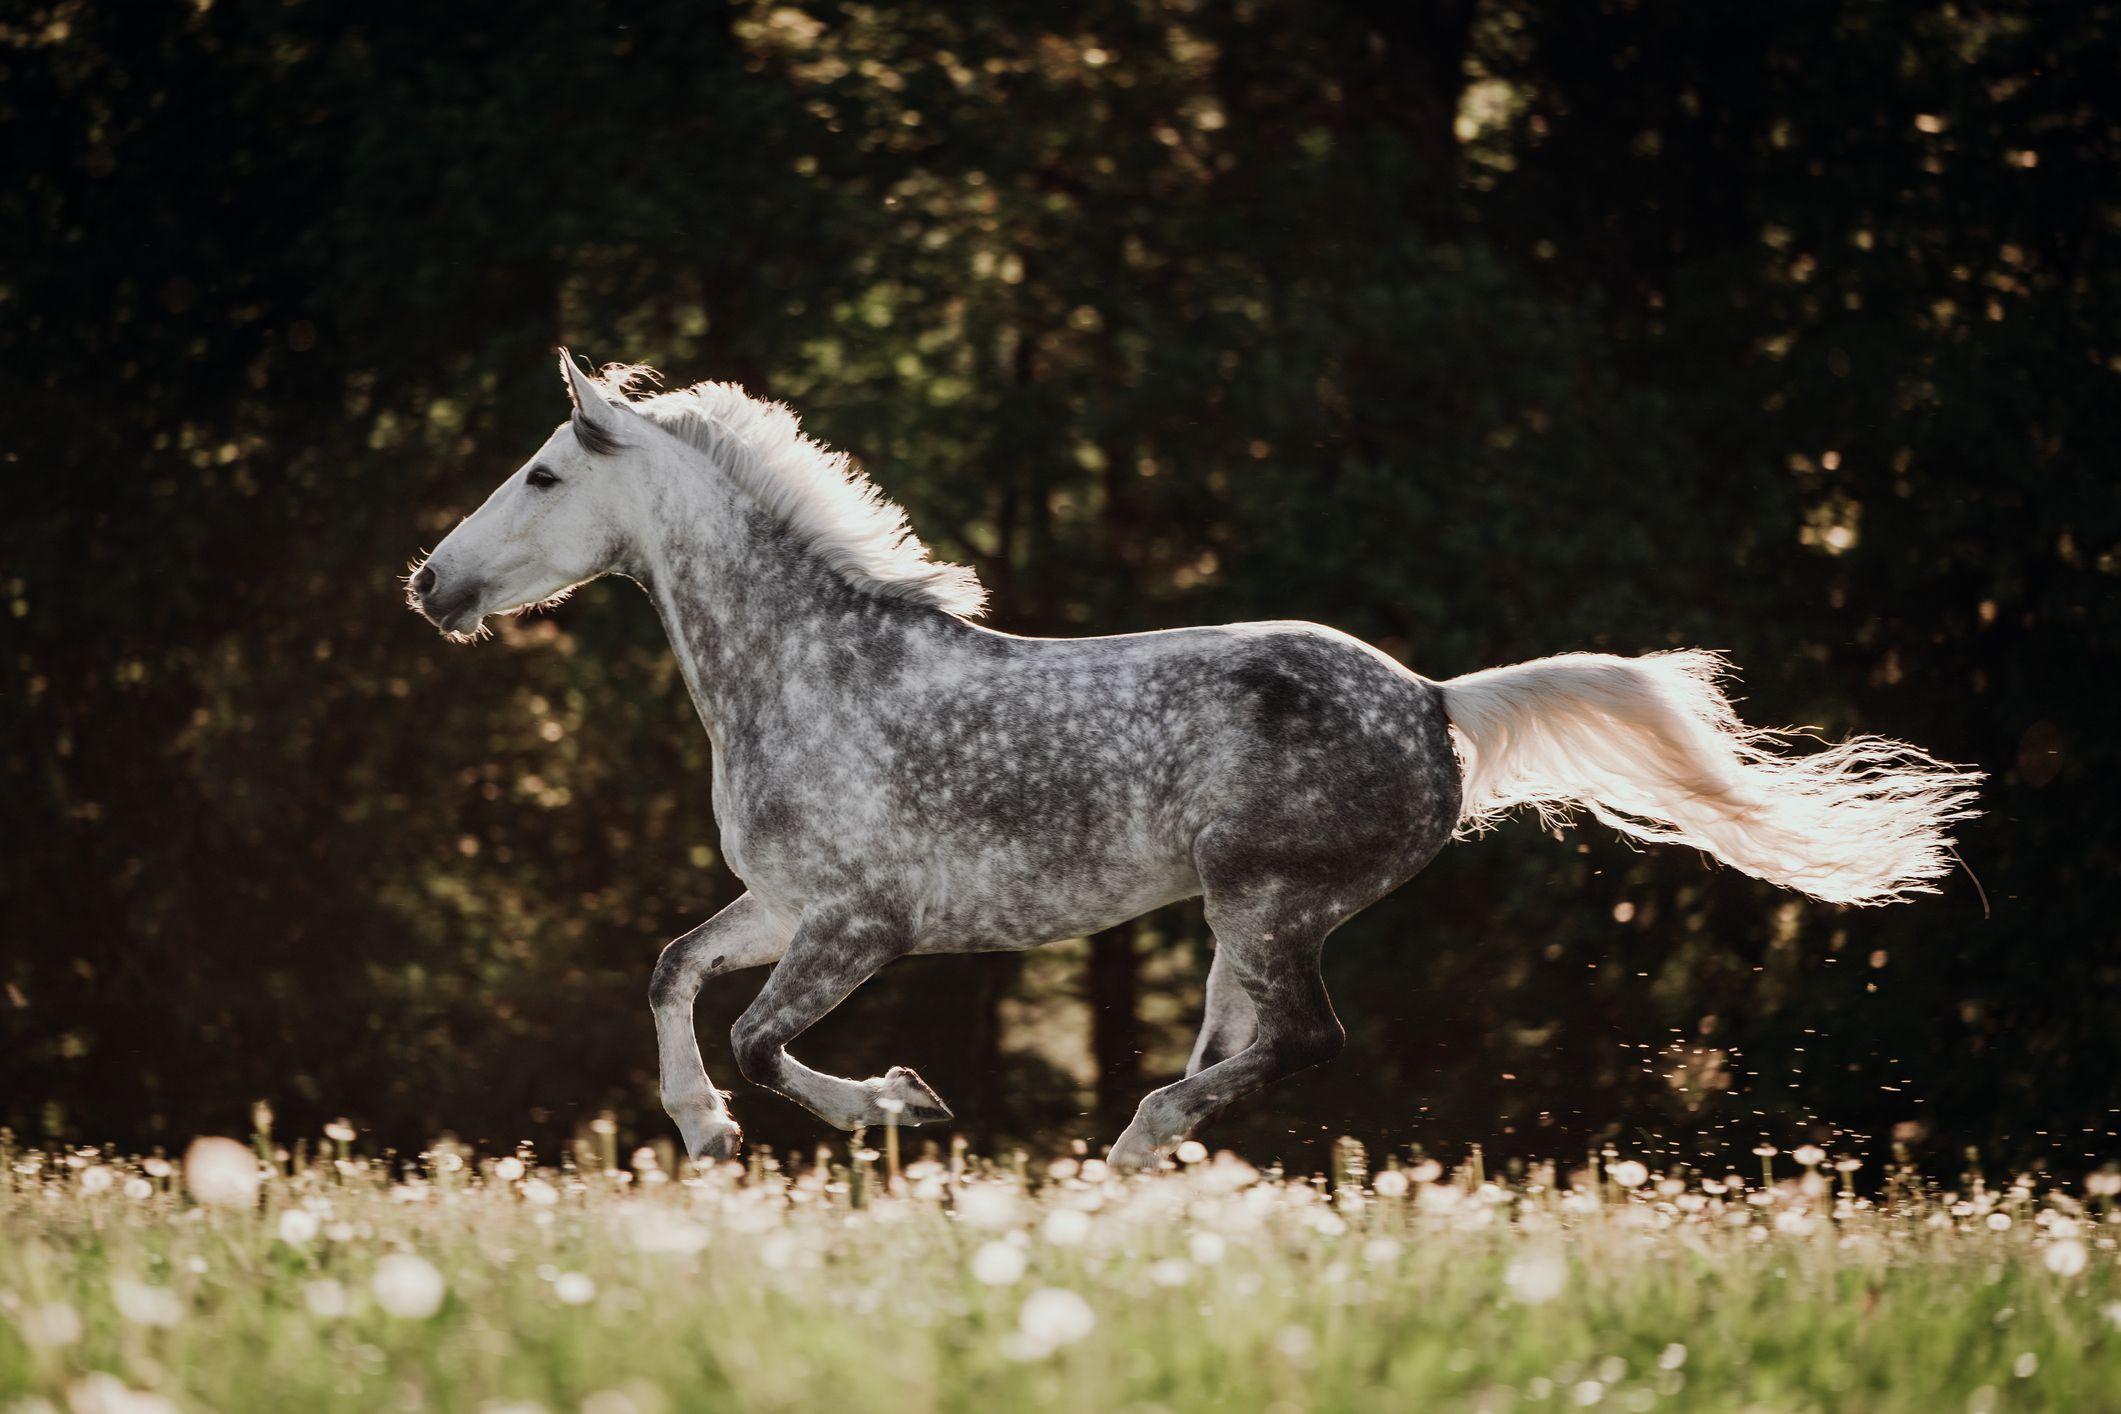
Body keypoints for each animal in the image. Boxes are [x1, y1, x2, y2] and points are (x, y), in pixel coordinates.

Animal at [407, 350, 1982, 1171]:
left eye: (543, 471)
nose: (429, 581)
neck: (813, 671)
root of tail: (1439, 699)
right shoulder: (786, 903)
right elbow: (674, 969)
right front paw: (704, 1134)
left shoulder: (863, 922)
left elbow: (762, 1038)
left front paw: (899, 1104)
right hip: (1242, 924)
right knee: (1238, 1046)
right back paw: (1139, 1170)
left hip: (1270, 900)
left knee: (1295, 1045)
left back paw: (1124, 1155)